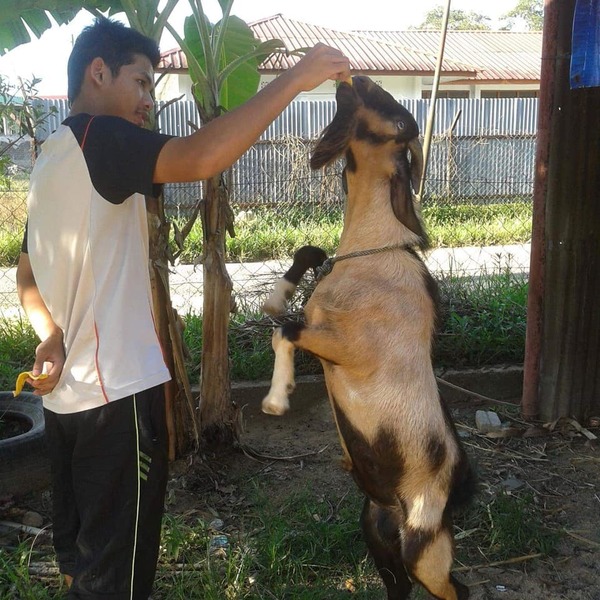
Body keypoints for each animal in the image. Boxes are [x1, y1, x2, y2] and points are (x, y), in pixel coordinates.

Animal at [262, 75, 474, 600]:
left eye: (396, 114)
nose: (352, 77)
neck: (373, 249)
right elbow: (302, 267)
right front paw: (277, 298)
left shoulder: (351, 351)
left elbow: (287, 331)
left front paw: (276, 399)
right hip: (377, 534)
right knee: (401, 588)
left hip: (424, 550)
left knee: (457, 590)